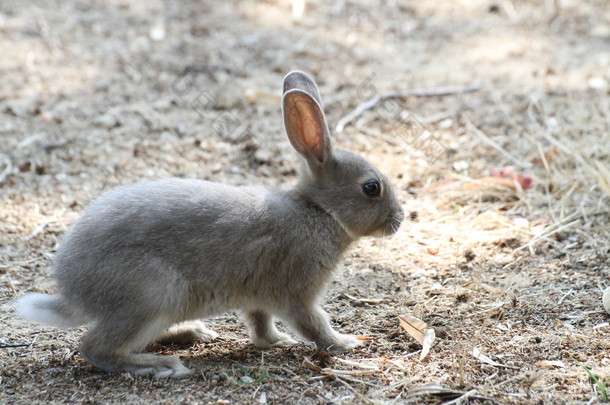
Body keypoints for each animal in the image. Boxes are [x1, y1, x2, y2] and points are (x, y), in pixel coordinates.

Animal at [13, 71, 404, 378]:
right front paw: (346, 343)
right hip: (153, 293)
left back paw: (192, 334)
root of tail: (73, 294)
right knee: (95, 347)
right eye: (371, 188)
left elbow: (259, 321)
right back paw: (161, 365)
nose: (400, 220)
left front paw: (275, 342)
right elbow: (314, 323)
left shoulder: (258, 295)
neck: (319, 210)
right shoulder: (298, 291)